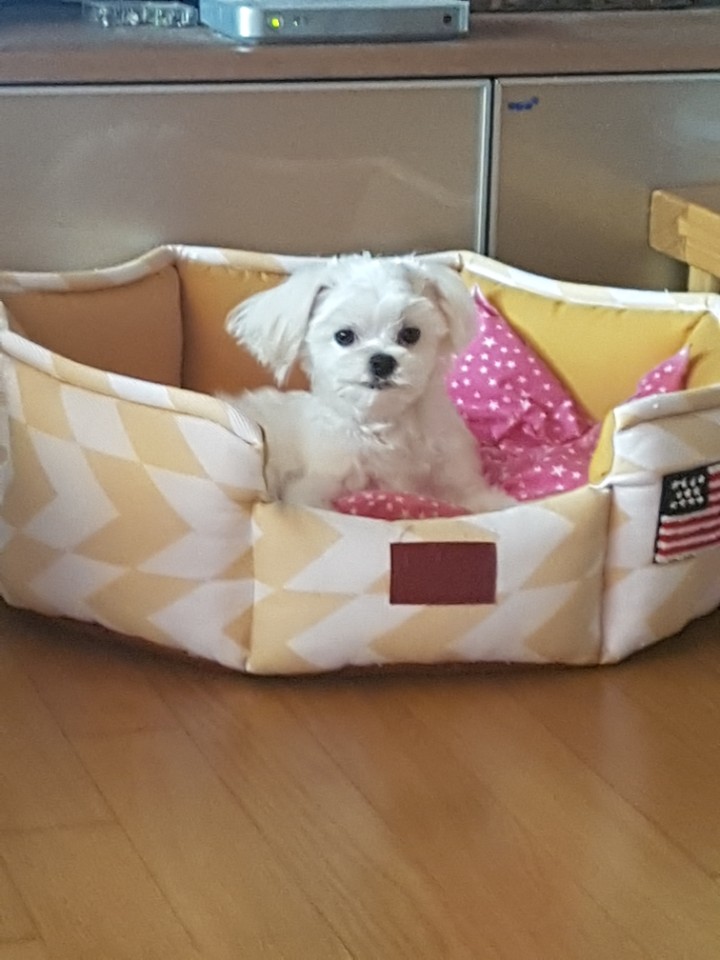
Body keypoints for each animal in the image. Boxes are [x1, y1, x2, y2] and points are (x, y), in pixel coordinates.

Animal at [224, 255, 515, 513]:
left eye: (411, 333)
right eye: (343, 336)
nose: (382, 361)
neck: (385, 424)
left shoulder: (452, 470)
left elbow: (472, 497)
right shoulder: (316, 486)